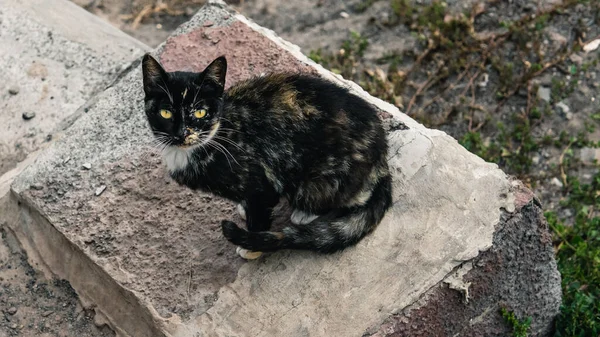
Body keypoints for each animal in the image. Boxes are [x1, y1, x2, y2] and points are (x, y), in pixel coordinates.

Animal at [142, 51, 392, 258]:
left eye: (200, 112)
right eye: (165, 112)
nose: (182, 133)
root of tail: (382, 158)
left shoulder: (261, 183)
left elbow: (260, 211)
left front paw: (252, 247)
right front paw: (244, 210)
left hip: (323, 174)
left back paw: (304, 213)